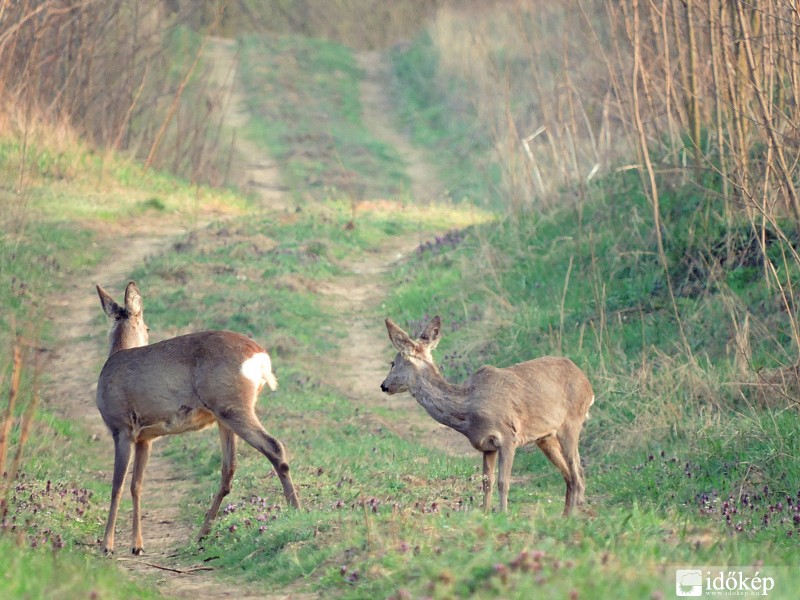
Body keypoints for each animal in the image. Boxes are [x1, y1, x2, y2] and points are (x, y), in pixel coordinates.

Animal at [95, 282, 302, 552]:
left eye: (147, 327)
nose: (148, 332)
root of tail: (260, 357)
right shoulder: (145, 438)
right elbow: (136, 486)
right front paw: (137, 545)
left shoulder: (121, 428)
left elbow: (117, 485)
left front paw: (107, 545)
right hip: (225, 417)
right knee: (229, 468)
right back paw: (202, 533)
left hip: (232, 406)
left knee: (274, 447)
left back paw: (296, 510)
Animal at [382, 314, 592, 516]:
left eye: (393, 363)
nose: (383, 385)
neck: (468, 408)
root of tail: (587, 384)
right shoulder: (486, 445)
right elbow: (486, 482)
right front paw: (485, 512)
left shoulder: (508, 436)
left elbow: (503, 482)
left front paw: (503, 514)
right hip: (546, 437)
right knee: (570, 475)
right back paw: (565, 516)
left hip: (571, 423)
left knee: (577, 473)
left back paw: (573, 516)